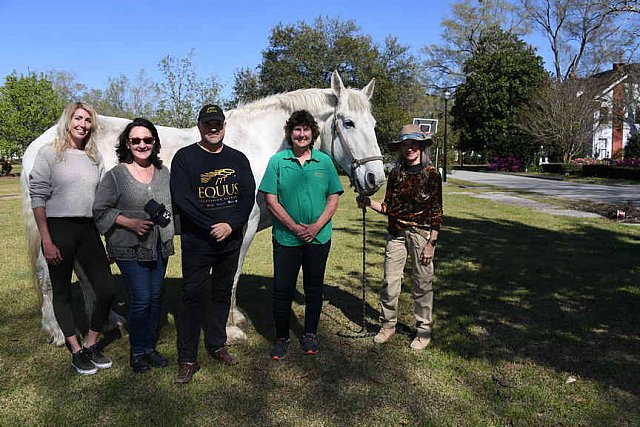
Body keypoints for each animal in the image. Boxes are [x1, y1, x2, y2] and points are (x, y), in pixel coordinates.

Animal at [21, 71, 384, 348]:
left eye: (374, 123)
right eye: (348, 123)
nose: (375, 178)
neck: (257, 147)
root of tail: (42, 141)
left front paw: (233, 319)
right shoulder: (242, 228)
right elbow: (231, 277)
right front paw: (229, 328)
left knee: (84, 273)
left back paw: (111, 320)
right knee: (48, 276)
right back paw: (56, 332)